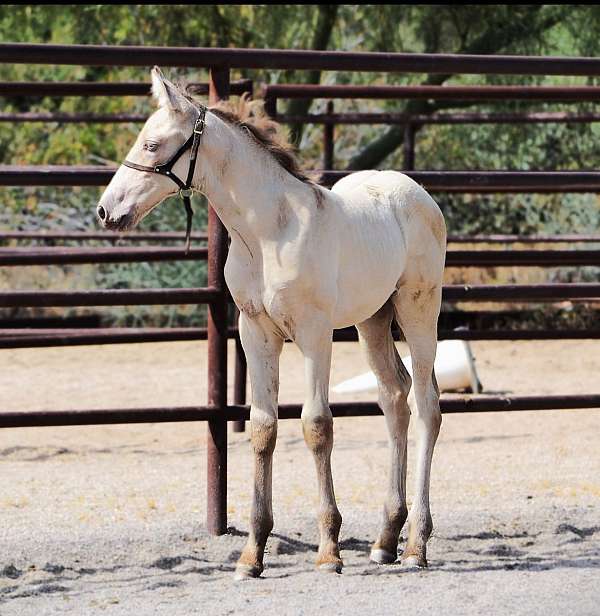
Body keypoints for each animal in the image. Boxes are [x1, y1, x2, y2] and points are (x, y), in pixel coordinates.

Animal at [97, 68, 446, 584]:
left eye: (154, 144)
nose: (107, 211)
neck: (267, 235)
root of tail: (415, 192)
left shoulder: (315, 334)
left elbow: (317, 425)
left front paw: (328, 551)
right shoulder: (255, 334)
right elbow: (263, 428)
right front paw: (252, 555)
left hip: (419, 309)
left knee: (426, 406)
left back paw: (417, 545)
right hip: (373, 319)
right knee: (393, 398)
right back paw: (385, 540)